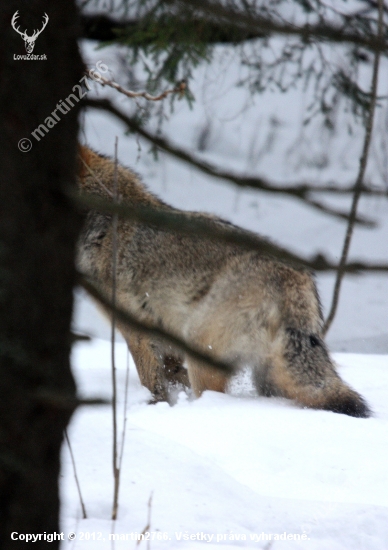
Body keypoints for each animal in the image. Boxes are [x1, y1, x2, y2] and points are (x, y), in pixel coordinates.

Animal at [76, 147, 370, 418]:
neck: (103, 225)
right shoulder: (167, 344)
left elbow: (153, 384)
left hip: (199, 345)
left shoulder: (137, 333)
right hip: (269, 377)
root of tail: (294, 278)